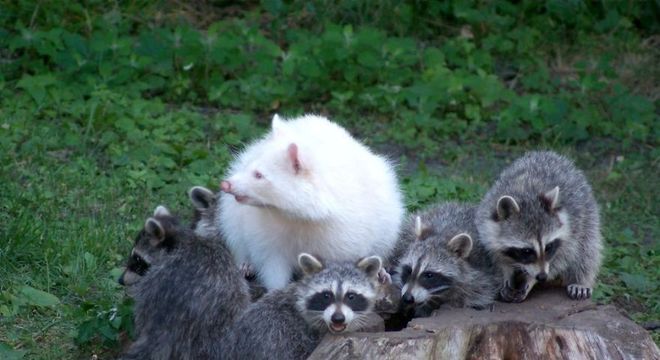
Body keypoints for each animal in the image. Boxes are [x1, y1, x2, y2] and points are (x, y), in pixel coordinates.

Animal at [474, 150, 604, 302]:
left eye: (548, 247)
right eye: (526, 251)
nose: (542, 276)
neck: (525, 195)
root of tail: (548, 153)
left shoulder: (571, 230)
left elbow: (561, 259)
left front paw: (530, 280)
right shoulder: (486, 226)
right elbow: (496, 257)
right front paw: (505, 275)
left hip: (588, 213)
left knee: (587, 249)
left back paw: (581, 280)